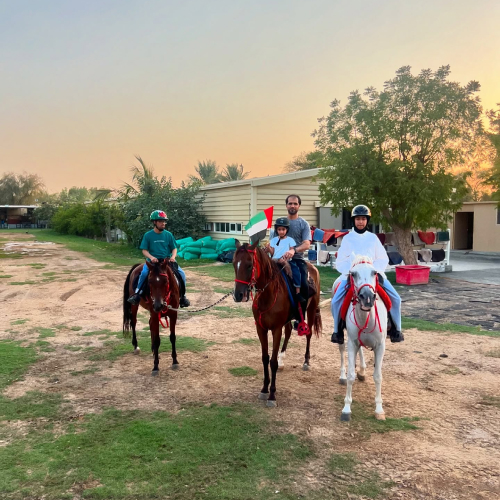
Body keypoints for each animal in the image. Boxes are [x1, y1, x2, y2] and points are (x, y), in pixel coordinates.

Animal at [232, 241, 322, 406]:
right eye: (234, 263)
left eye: (249, 265)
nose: (238, 295)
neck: (269, 294)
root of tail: (312, 267)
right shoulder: (261, 329)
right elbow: (265, 358)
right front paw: (264, 389)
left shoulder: (275, 329)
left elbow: (272, 362)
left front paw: (272, 394)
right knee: (288, 332)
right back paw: (282, 360)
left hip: (311, 309)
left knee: (309, 334)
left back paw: (306, 361)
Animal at [338, 254, 388, 422]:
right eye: (353, 274)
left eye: (374, 272)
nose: (367, 297)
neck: (366, 318)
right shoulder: (351, 343)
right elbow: (351, 376)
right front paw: (346, 409)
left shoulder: (380, 346)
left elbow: (378, 376)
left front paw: (379, 409)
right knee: (342, 350)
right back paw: (343, 375)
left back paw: (362, 370)